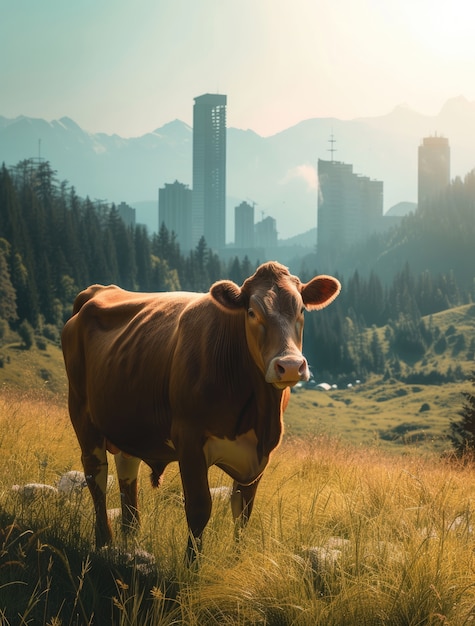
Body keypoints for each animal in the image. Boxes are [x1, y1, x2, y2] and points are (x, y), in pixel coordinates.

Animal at [61, 260, 340, 560]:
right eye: (252, 312)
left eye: (301, 310)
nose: (289, 366)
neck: (258, 413)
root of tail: (97, 291)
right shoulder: (189, 439)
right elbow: (199, 508)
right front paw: (191, 565)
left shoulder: (260, 453)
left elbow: (243, 512)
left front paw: (236, 560)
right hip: (81, 411)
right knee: (96, 476)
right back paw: (104, 541)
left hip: (128, 423)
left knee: (127, 471)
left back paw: (130, 537)